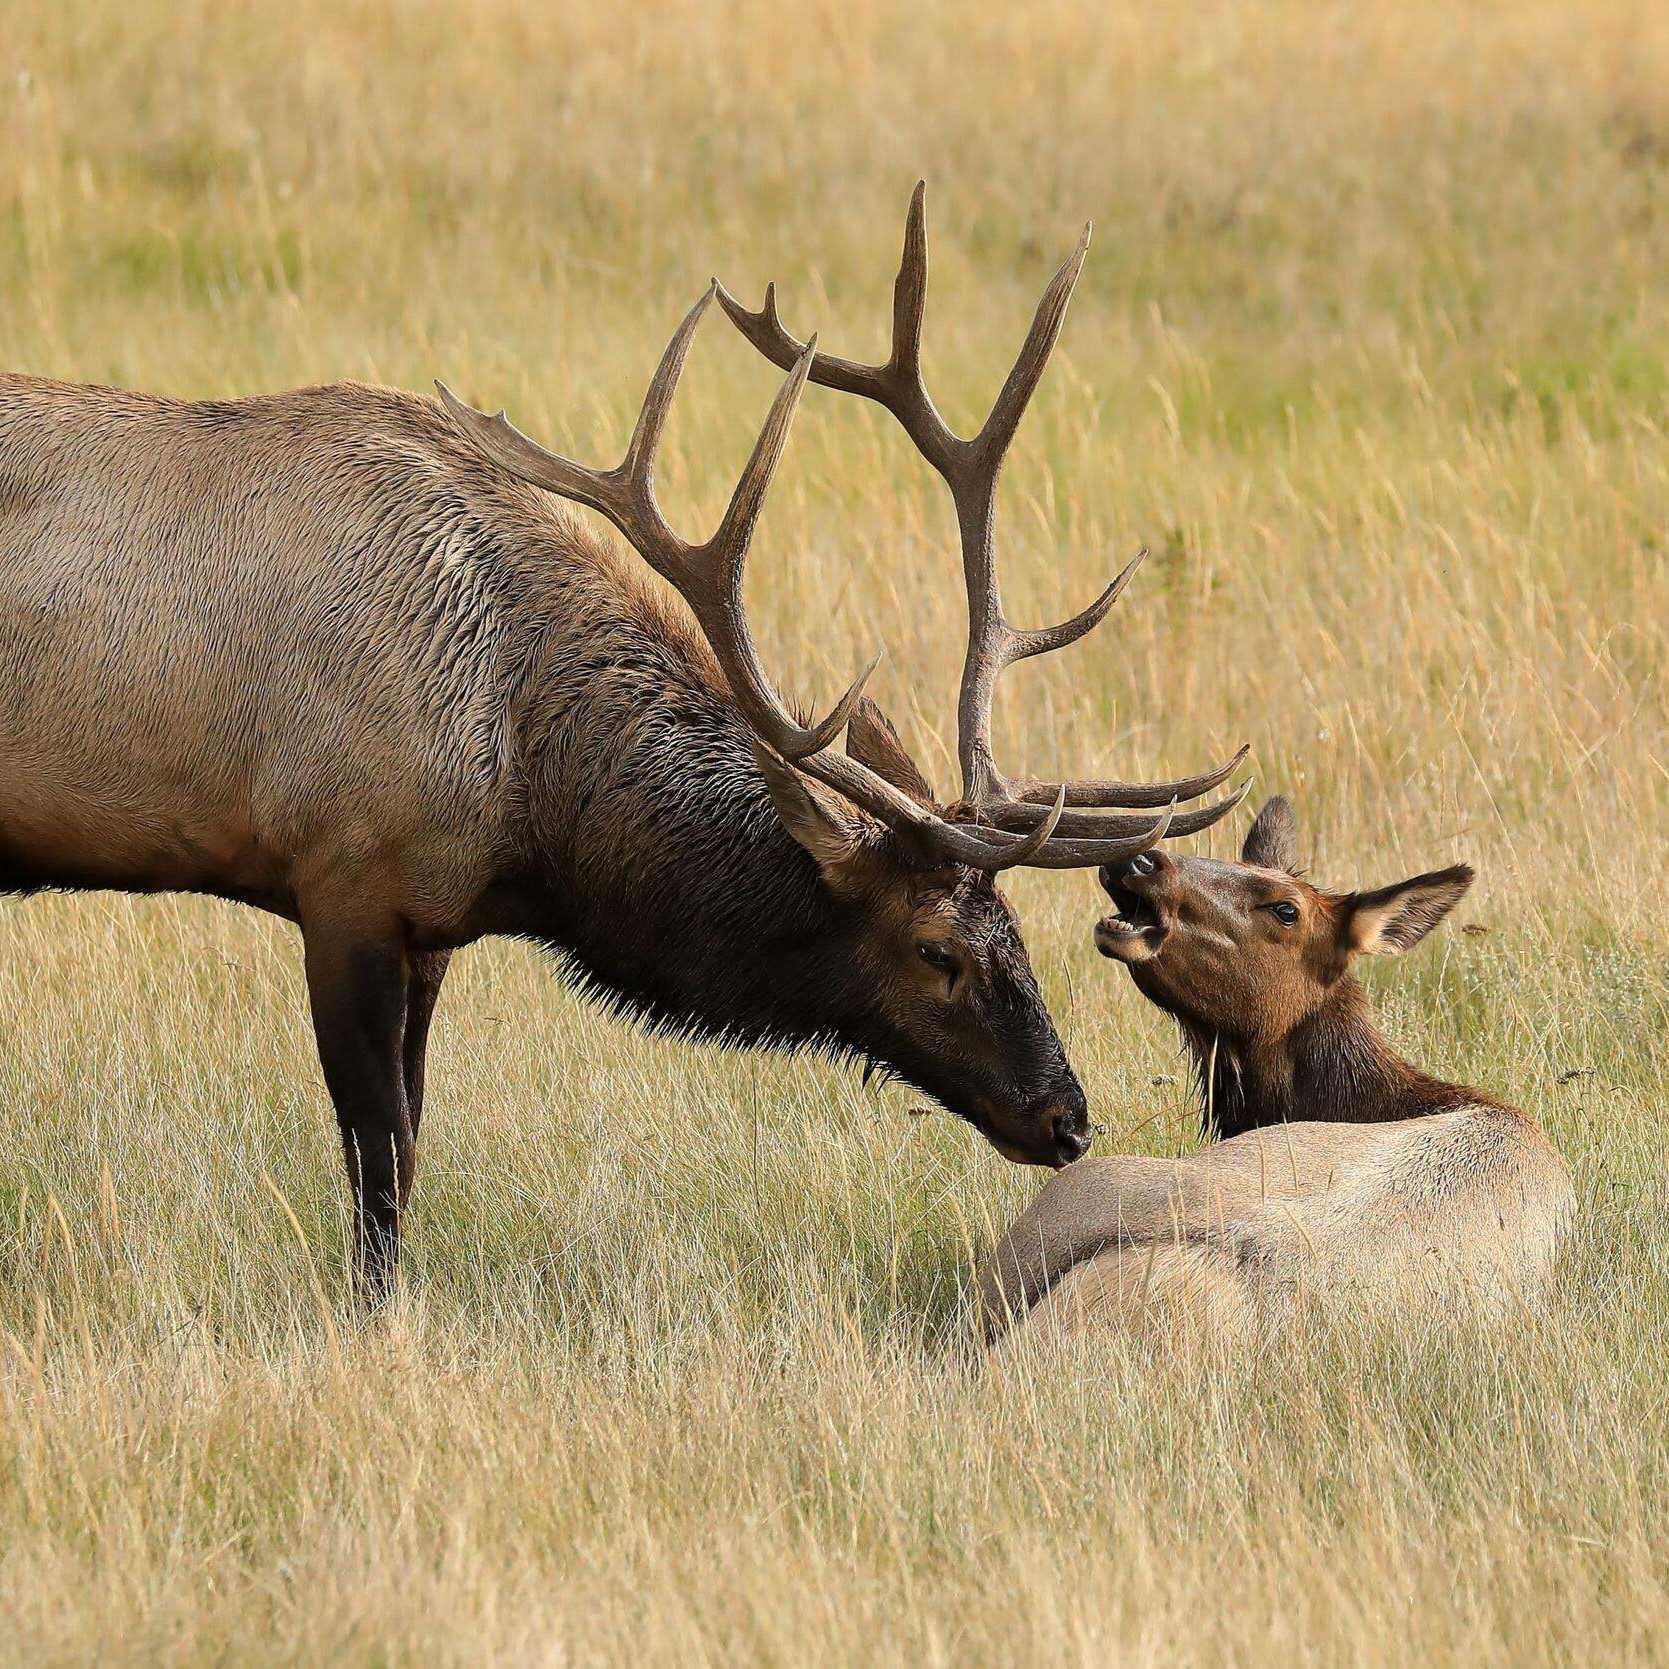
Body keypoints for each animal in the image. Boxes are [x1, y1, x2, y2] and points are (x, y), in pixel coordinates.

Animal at [0, 186, 1248, 1296]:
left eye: (1019, 938)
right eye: (938, 949)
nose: (1067, 1116)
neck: (524, 795)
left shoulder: (427, 921)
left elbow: (412, 1136)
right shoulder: (341, 873)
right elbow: (377, 1151)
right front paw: (371, 1314)